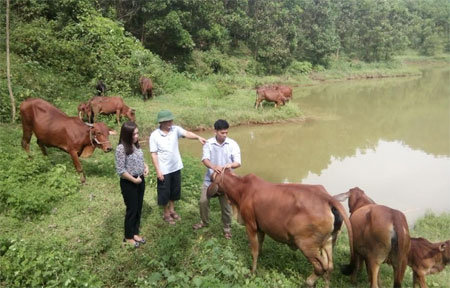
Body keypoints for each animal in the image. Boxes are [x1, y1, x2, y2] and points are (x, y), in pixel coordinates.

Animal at [207, 169, 356, 288]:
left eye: (212, 178)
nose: (208, 190)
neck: (241, 189)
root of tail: (328, 199)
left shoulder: (251, 225)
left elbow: (254, 251)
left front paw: (252, 271)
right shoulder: (261, 227)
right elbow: (259, 245)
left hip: (306, 244)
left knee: (321, 267)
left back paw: (309, 281)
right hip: (328, 242)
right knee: (329, 267)